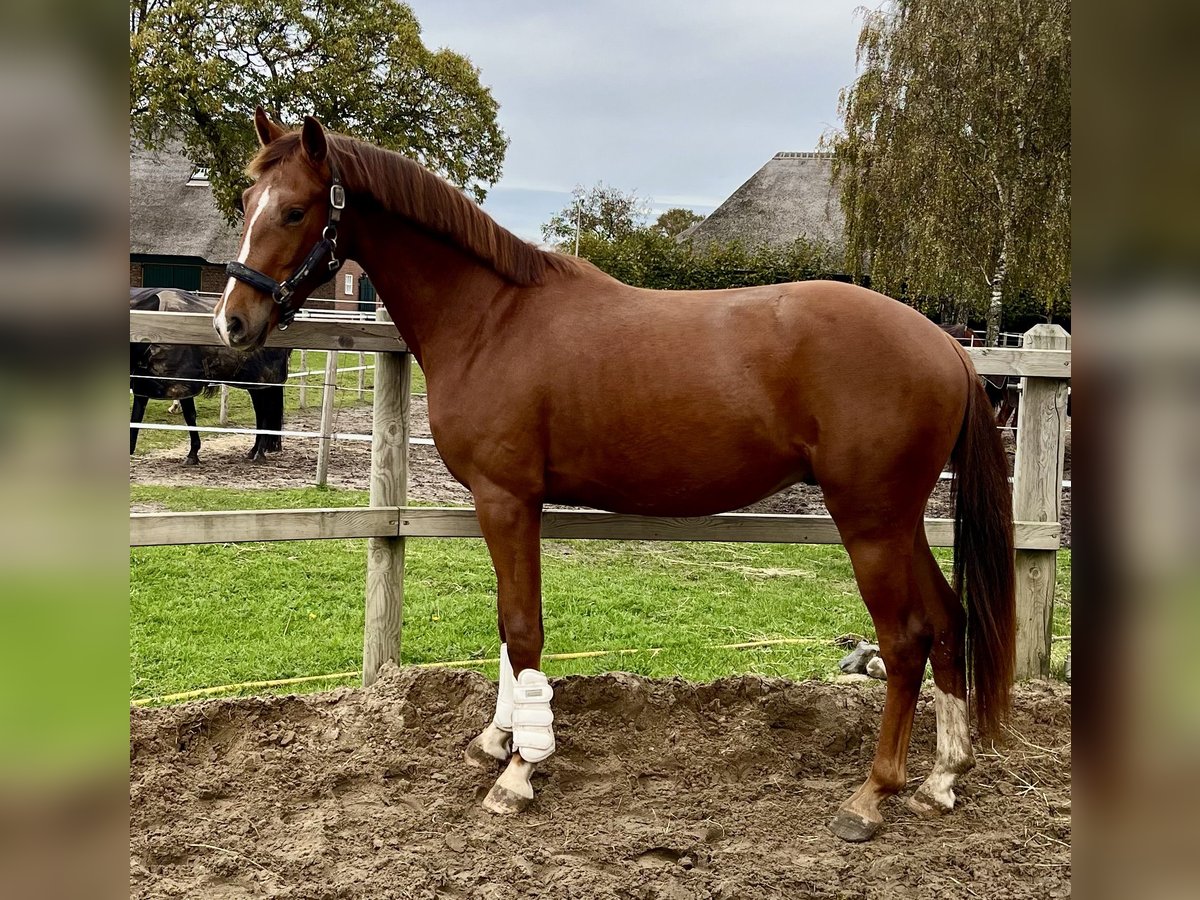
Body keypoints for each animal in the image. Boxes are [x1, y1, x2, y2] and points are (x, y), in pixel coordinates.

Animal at [130, 287, 289, 464]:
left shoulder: (183, 384)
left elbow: (190, 416)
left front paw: (192, 454)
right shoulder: (144, 384)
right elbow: (135, 418)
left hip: (265, 383)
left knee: (266, 413)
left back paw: (259, 453)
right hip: (256, 385)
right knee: (260, 413)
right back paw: (253, 450)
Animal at [214, 109, 1015, 843]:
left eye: (295, 209)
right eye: (245, 201)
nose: (233, 322)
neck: (492, 319)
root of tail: (945, 342)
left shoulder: (508, 499)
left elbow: (523, 628)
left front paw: (519, 771)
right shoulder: (509, 504)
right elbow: (507, 627)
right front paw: (498, 740)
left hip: (871, 521)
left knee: (906, 639)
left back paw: (873, 794)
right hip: (899, 520)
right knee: (947, 622)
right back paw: (942, 779)